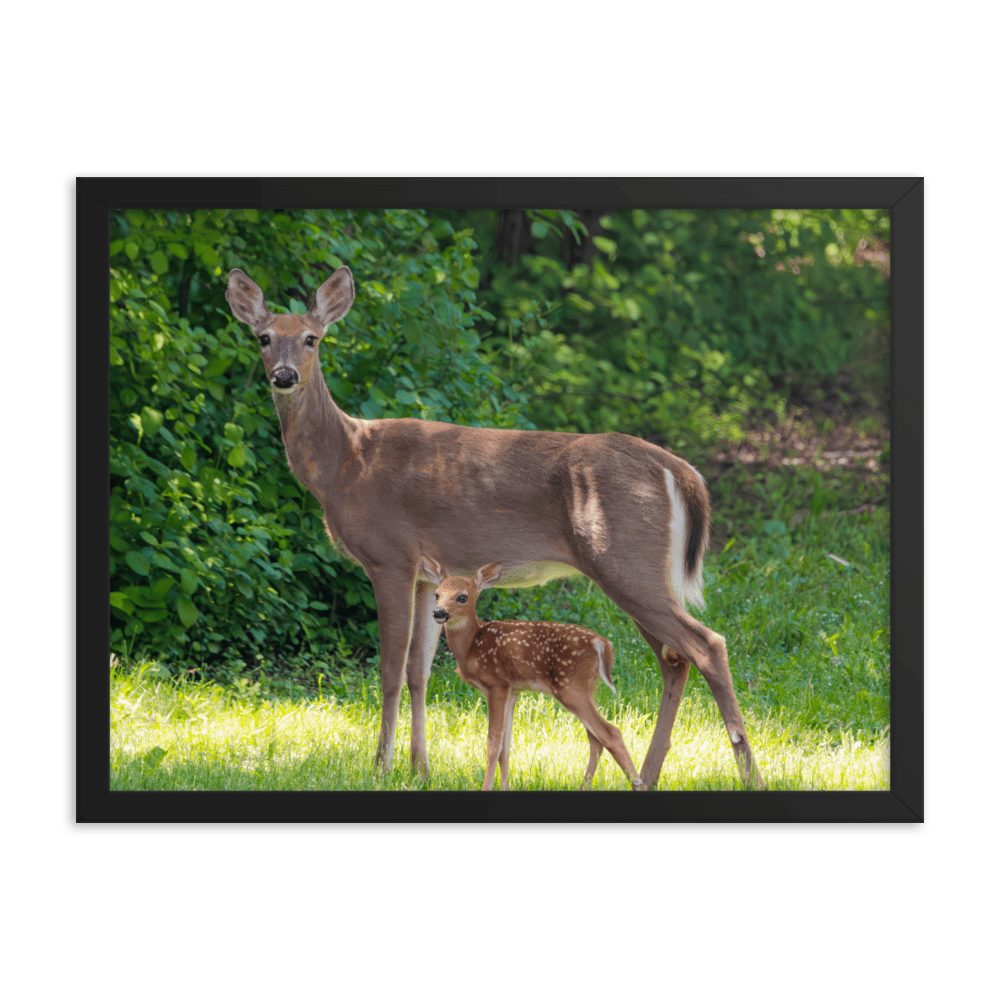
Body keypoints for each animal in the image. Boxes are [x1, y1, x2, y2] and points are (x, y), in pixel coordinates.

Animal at [227, 264, 764, 788]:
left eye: (312, 338)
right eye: (264, 337)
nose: (284, 376)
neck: (345, 463)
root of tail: (680, 470)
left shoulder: (389, 557)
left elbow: (390, 670)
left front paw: (380, 768)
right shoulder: (425, 575)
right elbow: (420, 671)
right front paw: (420, 769)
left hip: (626, 560)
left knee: (707, 646)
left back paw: (748, 774)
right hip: (638, 571)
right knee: (675, 660)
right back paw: (649, 776)